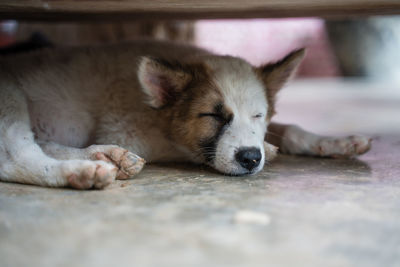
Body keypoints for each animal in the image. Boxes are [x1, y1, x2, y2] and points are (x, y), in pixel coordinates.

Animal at [0, 40, 370, 191]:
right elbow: (190, 149)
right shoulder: (125, 129)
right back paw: (85, 169)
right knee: (19, 158)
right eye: (212, 116)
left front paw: (337, 142)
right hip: (11, 97)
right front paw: (270, 149)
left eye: (258, 115)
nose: (251, 158)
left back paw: (104, 157)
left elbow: (289, 127)